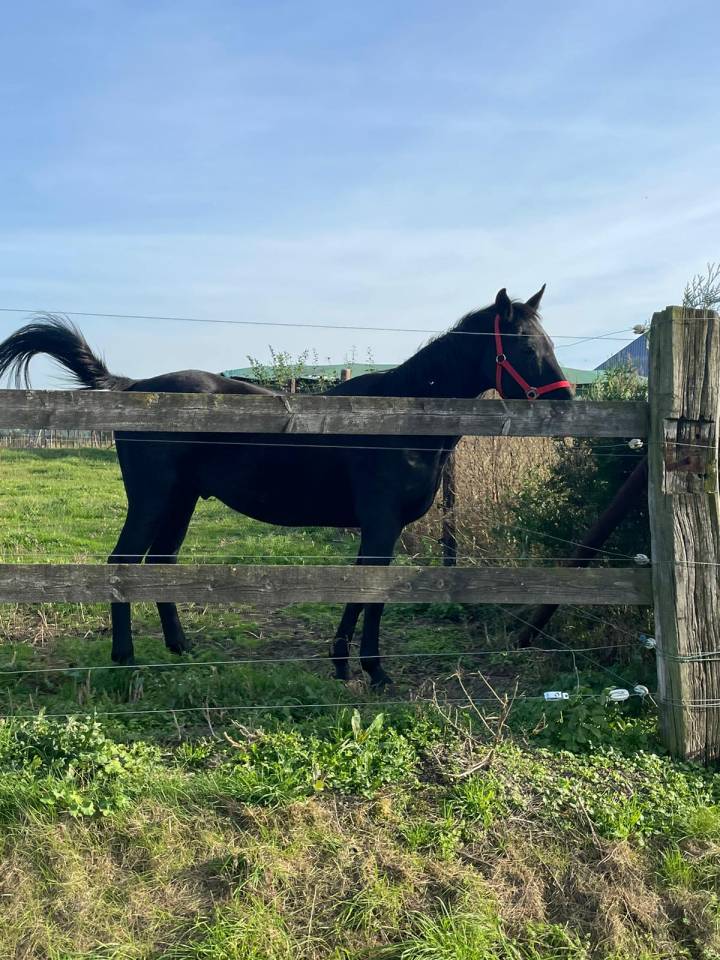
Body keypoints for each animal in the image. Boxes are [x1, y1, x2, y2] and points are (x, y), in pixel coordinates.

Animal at [0, 286, 573, 685]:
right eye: (524, 345)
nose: (565, 401)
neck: (402, 418)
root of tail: (134, 386)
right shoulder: (381, 526)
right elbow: (370, 594)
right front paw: (368, 669)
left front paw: (345, 664)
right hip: (152, 500)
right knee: (121, 566)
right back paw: (126, 660)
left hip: (181, 501)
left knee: (160, 564)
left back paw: (180, 647)